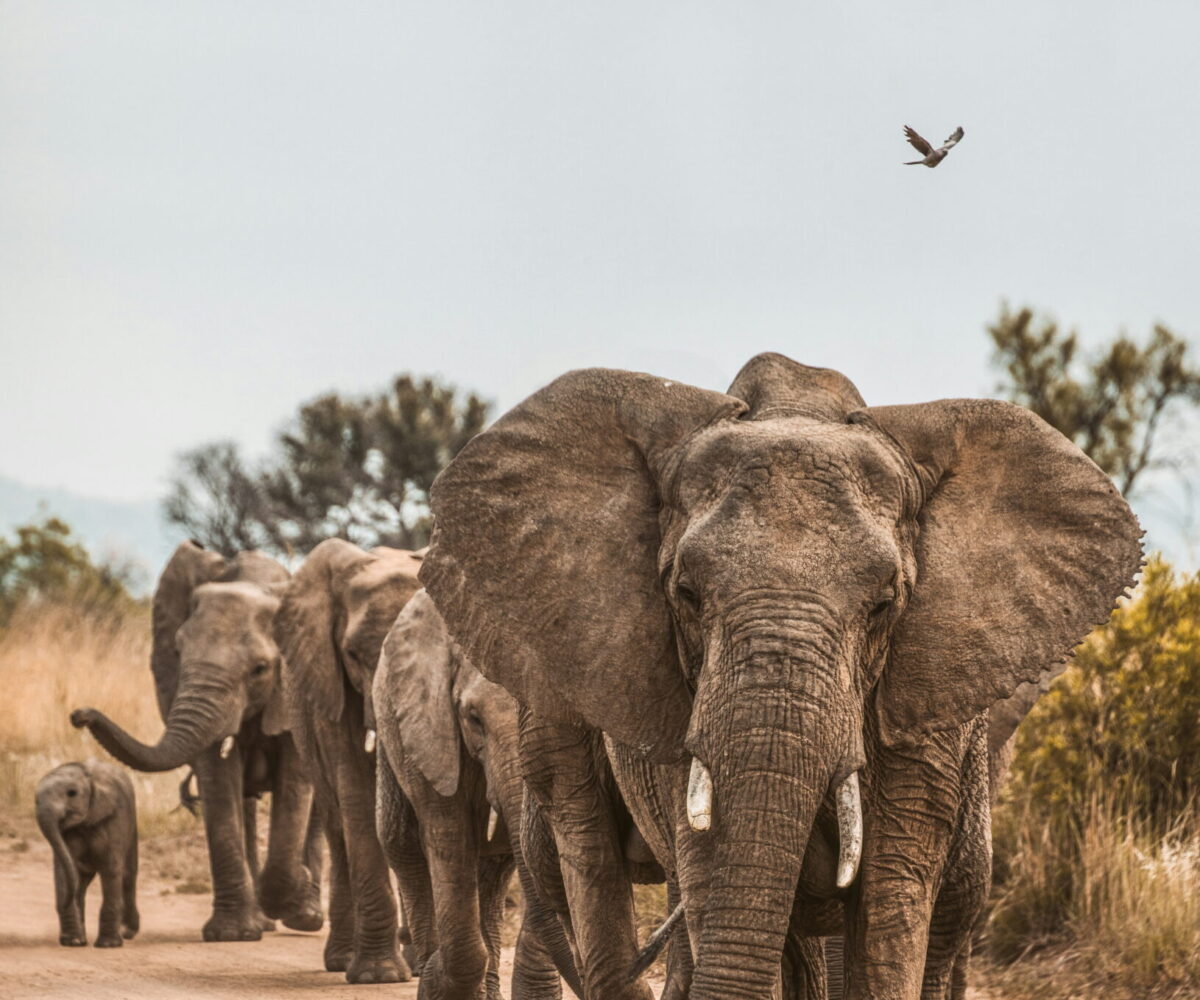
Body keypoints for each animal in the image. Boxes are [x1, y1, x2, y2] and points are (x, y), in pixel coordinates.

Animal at [36, 761, 139, 948]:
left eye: (72, 793)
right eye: (35, 800)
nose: (63, 903)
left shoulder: (115, 819)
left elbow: (111, 868)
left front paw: (108, 945)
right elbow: (64, 869)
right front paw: (72, 942)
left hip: (132, 825)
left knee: (128, 876)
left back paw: (127, 932)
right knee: (81, 883)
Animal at [71, 541, 323, 942]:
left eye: (260, 669)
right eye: (177, 653)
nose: (79, 715)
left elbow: (296, 783)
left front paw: (293, 888)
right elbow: (218, 781)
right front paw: (232, 935)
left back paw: (306, 917)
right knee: (244, 802)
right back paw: (264, 920)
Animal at [274, 538, 423, 984]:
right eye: (354, 654)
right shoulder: (329, 682)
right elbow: (356, 790)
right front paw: (379, 976)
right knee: (337, 824)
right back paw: (343, 960)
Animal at [373, 588, 587, 1000]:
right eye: (473, 718)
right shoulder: (431, 726)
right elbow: (448, 838)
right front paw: (435, 980)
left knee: (494, 871)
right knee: (402, 845)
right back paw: (428, 963)